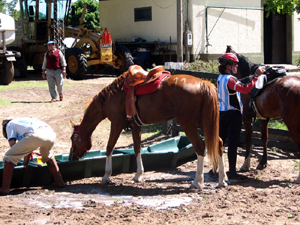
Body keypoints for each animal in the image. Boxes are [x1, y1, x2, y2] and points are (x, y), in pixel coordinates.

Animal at [68, 70, 227, 188]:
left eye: (72, 138)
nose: (71, 157)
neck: (111, 96)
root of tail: (203, 83)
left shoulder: (117, 123)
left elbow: (109, 147)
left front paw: (106, 176)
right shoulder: (135, 126)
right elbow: (137, 148)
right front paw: (138, 175)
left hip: (188, 123)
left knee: (200, 146)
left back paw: (198, 182)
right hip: (203, 122)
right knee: (218, 143)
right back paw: (222, 179)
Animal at [233, 50, 300, 182]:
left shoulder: (247, 117)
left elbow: (248, 139)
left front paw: (246, 164)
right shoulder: (264, 118)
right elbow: (265, 138)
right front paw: (263, 163)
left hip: (292, 123)